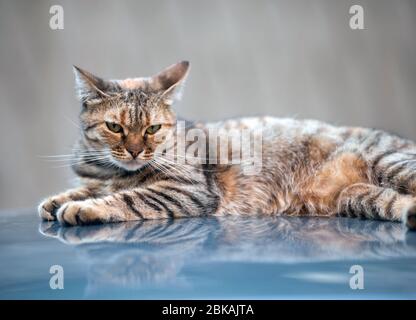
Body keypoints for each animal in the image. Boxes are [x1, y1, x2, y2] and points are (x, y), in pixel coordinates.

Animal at [38, 60, 416, 230]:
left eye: (153, 128)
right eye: (114, 127)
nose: (134, 151)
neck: (110, 169)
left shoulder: (186, 190)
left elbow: (127, 198)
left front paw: (82, 207)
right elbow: (84, 188)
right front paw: (57, 201)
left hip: (389, 162)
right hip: (358, 197)